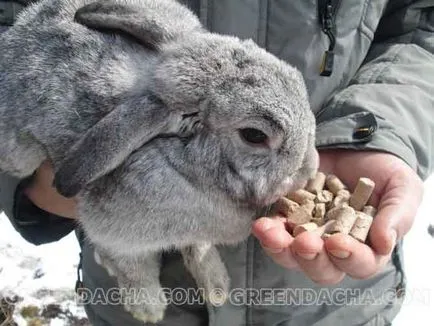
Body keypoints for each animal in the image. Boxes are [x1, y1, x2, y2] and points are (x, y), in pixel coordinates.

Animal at [0, 0, 318, 322]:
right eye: (254, 135)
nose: (309, 168)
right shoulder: (115, 235)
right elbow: (131, 266)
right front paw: (149, 308)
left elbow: (198, 247)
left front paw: (217, 287)